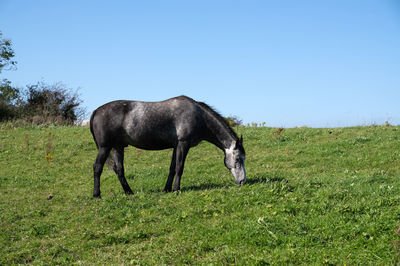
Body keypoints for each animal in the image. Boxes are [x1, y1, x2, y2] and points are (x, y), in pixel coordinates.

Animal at [89, 95, 245, 197]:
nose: (242, 181)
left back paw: (129, 192)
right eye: (238, 159)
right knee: (97, 167)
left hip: (118, 147)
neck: (198, 116)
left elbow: (172, 168)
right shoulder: (183, 144)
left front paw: (167, 189)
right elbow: (179, 167)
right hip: (105, 147)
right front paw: (176, 189)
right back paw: (97, 194)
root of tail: (96, 111)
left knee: (119, 170)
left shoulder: (176, 146)